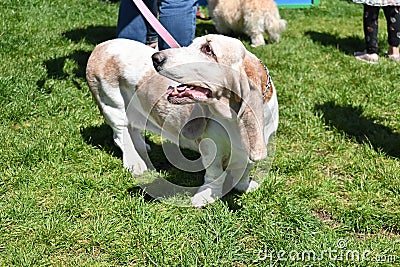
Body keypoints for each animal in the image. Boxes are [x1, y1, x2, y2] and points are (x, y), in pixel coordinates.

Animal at [85, 33, 278, 208]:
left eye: (208, 49)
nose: (156, 58)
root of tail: (102, 46)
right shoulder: (212, 148)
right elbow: (214, 174)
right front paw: (206, 196)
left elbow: (245, 169)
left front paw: (244, 186)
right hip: (112, 104)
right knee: (121, 134)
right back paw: (136, 163)